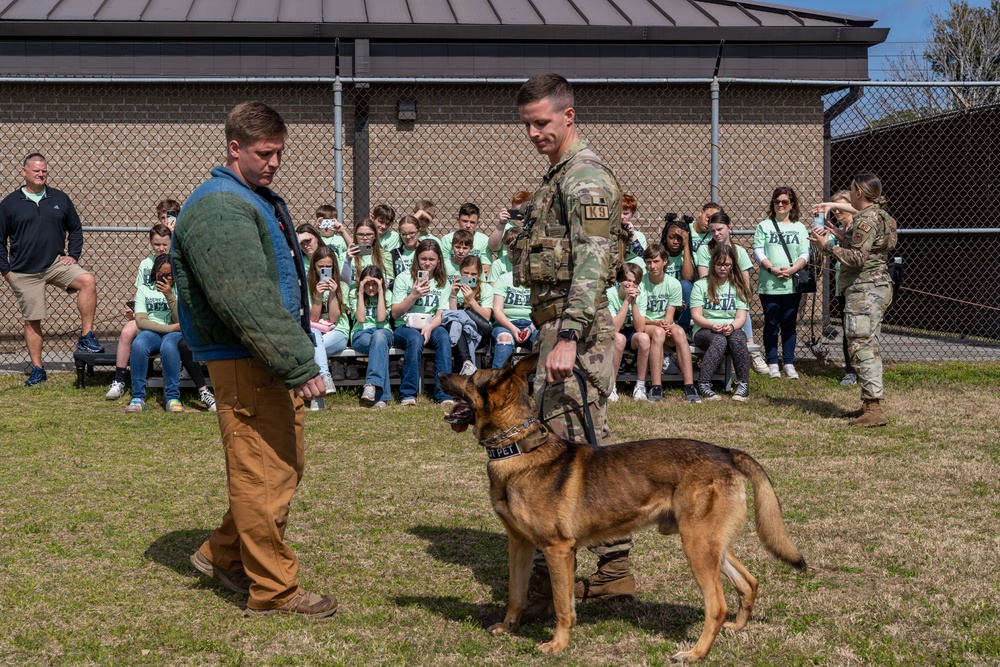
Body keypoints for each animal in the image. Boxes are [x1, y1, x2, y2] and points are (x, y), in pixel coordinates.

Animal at [442, 354, 808, 664]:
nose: (443, 374)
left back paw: (695, 653)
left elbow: (562, 606)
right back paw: (736, 627)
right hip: (710, 544)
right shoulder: (520, 544)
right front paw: (509, 627)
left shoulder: (558, 549)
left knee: (717, 606)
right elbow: (516, 594)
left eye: (470, 378)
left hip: (697, 546)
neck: (517, 449)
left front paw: (558, 644)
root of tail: (726, 452)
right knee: (749, 582)